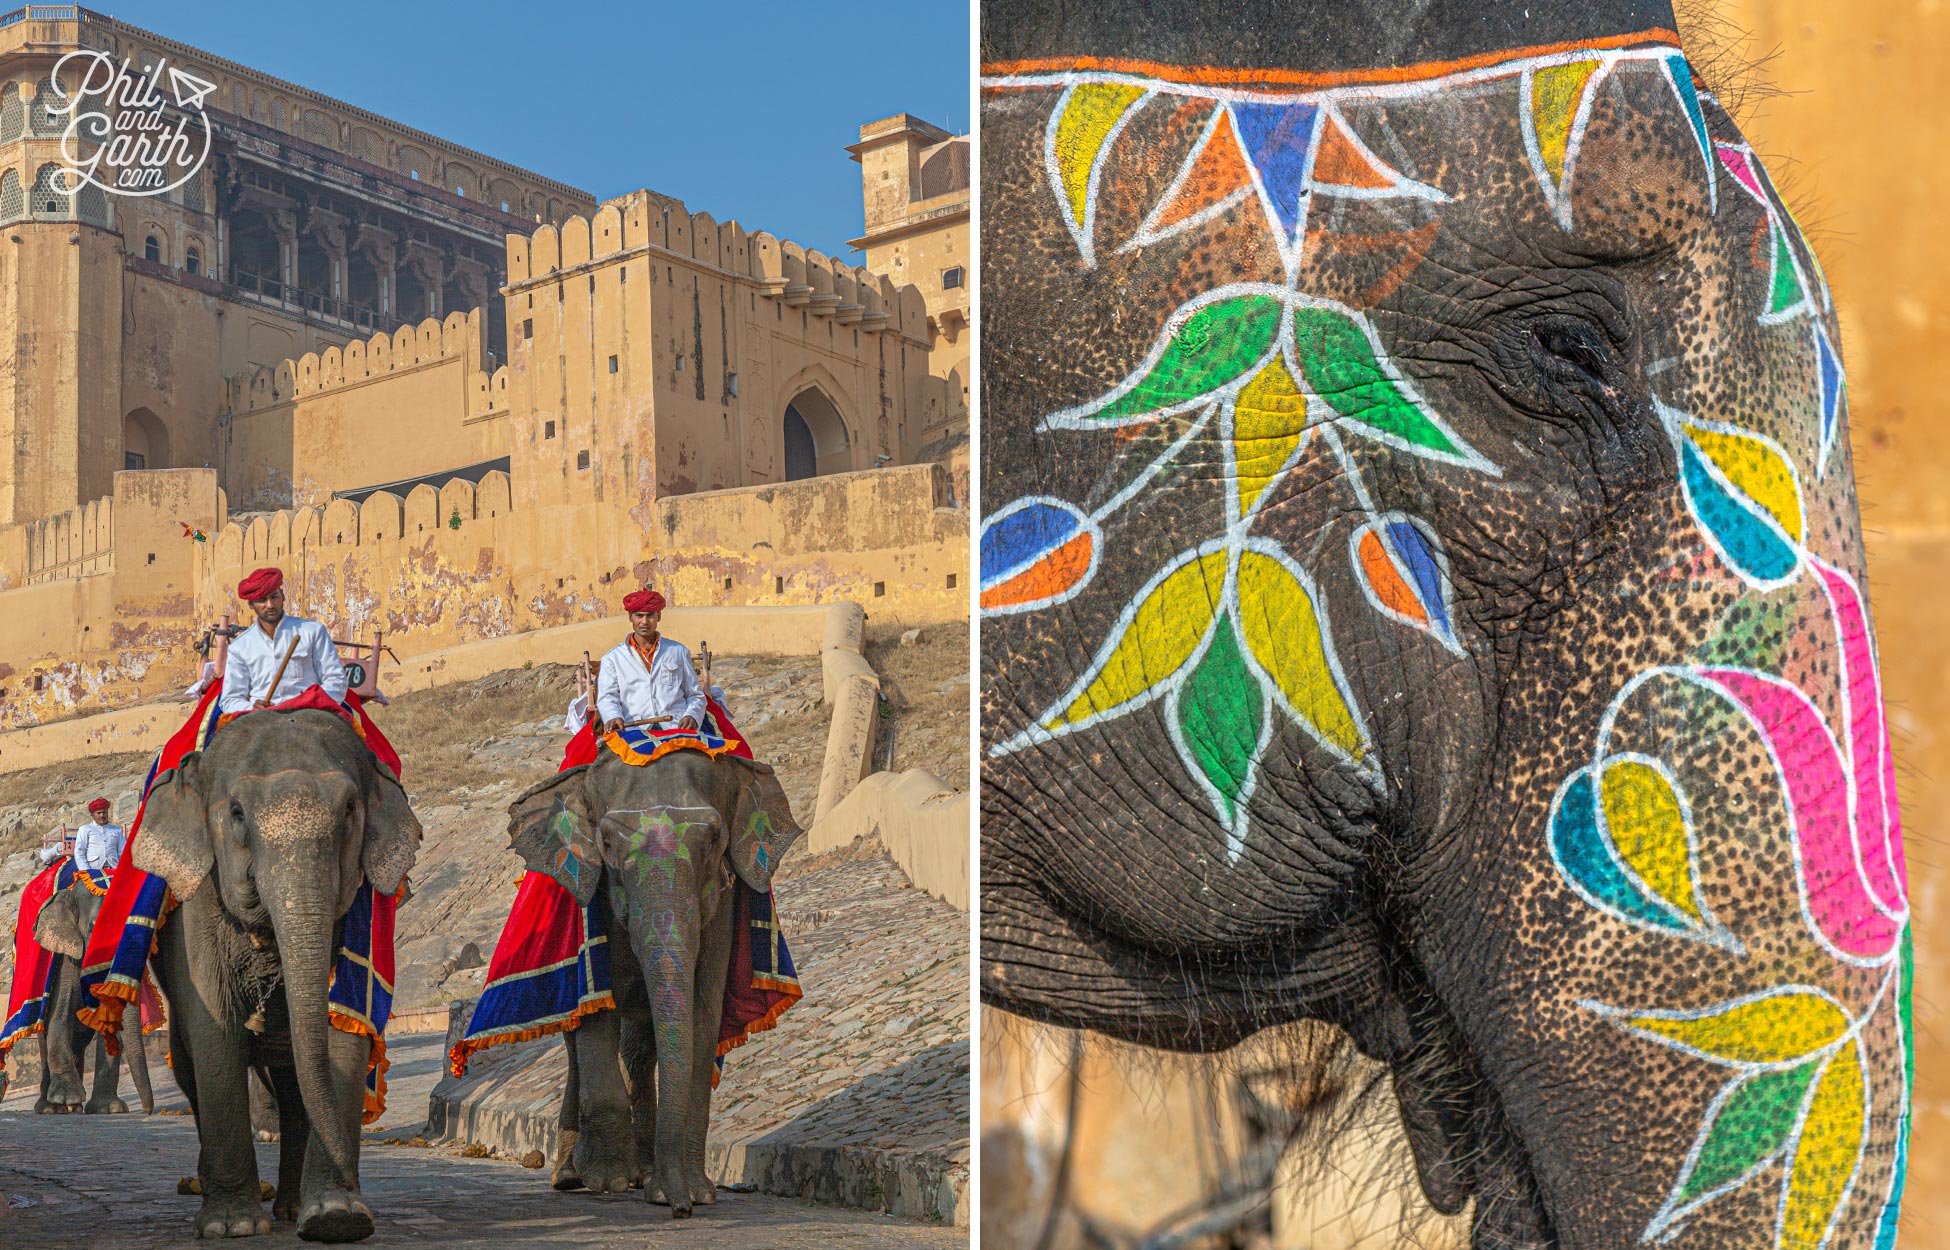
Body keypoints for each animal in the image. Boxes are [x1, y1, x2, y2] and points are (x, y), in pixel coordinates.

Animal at [32, 865, 152, 1107]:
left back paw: (75, 1107)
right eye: (94, 930)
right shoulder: (66, 955)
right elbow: (59, 1012)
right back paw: (52, 1107)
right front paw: (65, 1098)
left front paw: (110, 1108)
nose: (149, 1110)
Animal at [132, 705, 419, 1240]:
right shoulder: (196, 911)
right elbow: (216, 1033)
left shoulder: (365, 917)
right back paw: (214, 1191)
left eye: (350, 810)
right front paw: (232, 1227)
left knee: (291, 1083)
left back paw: (290, 1207)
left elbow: (343, 1026)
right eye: (237, 813)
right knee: (190, 1068)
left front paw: (336, 1218)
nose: (353, 1178)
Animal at [510, 744, 807, 1216]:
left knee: (640, 1046)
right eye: (606, 843)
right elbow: (598, 1016)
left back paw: (643, 1174)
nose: (679, 1208)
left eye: (714, 840)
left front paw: (696, 1193)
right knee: (577, 1037)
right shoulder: (590, 903)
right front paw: (608, 1181)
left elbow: (703, 1012)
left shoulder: (722, 903)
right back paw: (573, 1176)